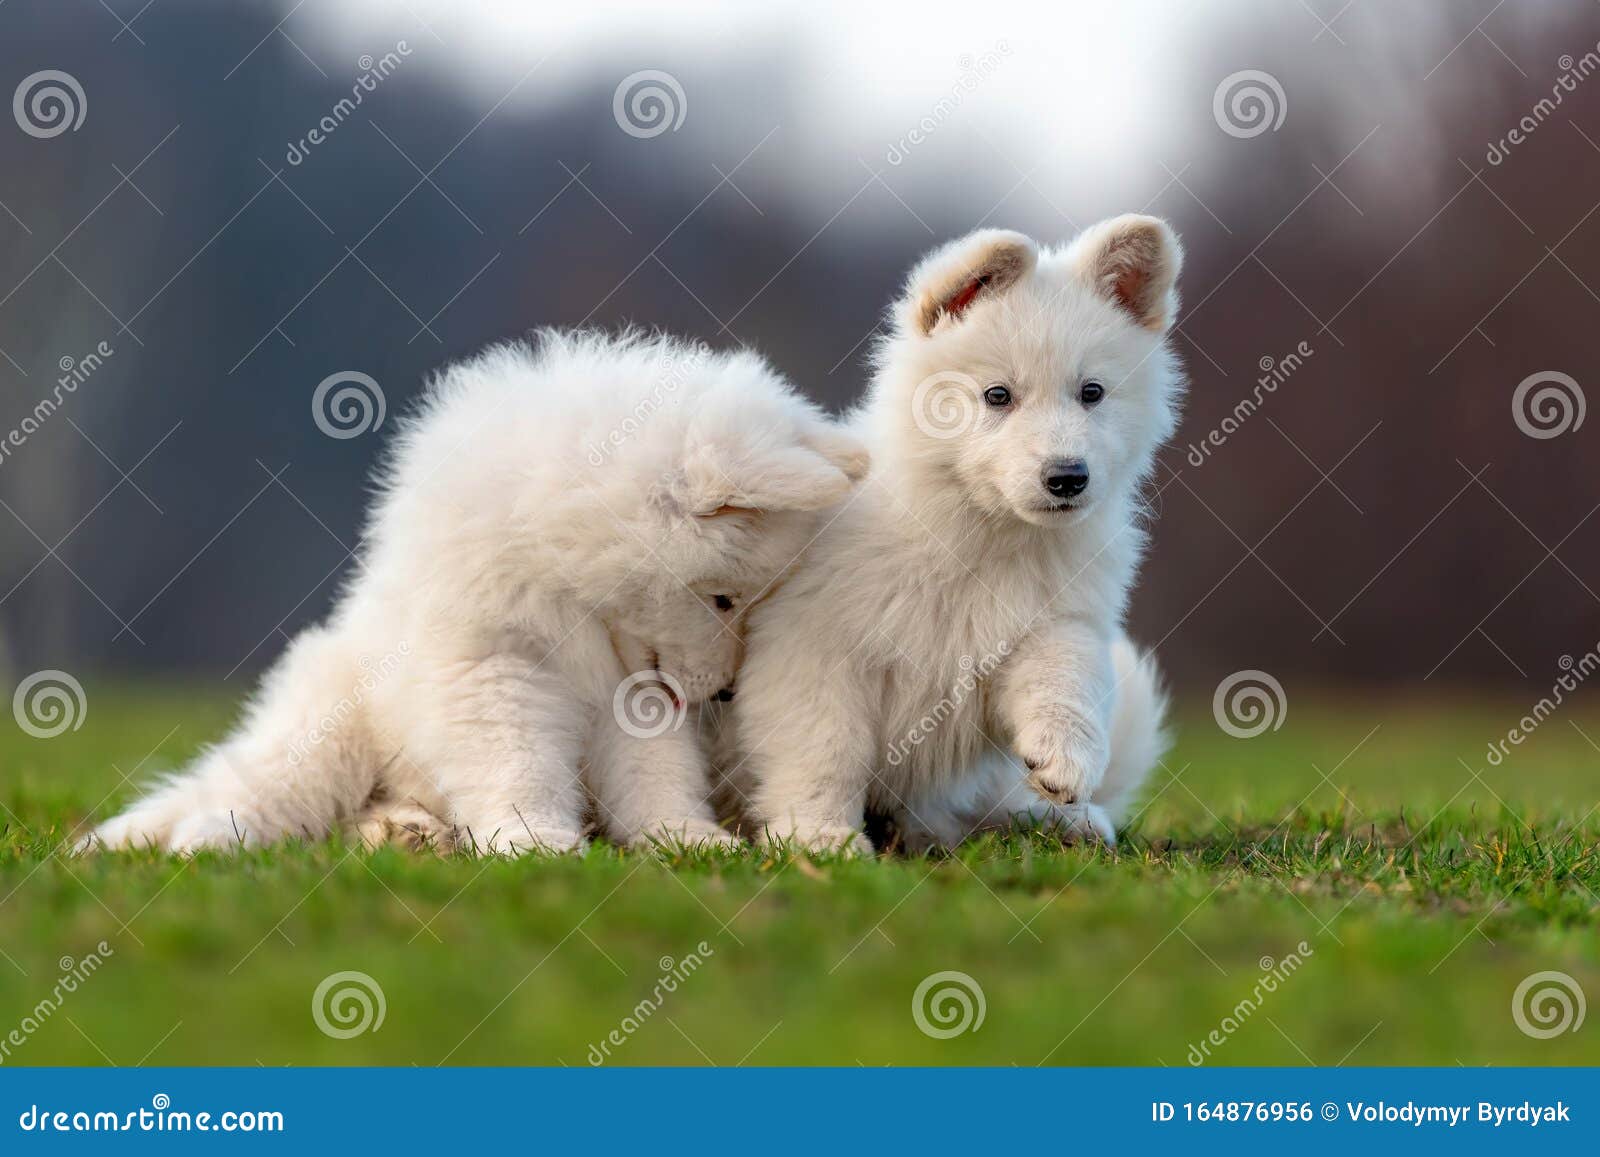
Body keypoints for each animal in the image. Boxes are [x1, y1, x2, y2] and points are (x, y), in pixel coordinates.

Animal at [87, 329, 864, 857]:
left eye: (750, 602)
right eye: (723, 599)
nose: (727, 692)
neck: (568, 577)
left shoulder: (632, 690)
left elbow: (654, 771)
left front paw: (683, 837)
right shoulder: (493, 666)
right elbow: (519, 762)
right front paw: (534, 840)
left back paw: (405, 830)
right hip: (330, 731)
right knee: (260, 792)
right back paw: (196, 839)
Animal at [732, 214, 1184, 851]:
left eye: (1092, 393)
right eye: (997, 395)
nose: (1068, 478)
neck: (977, 536)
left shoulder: (1047, 622)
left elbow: (1064, 674)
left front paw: (1065, 760)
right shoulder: (813, 650)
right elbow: (823, 752)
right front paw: (819, 836)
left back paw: (1062, 821)